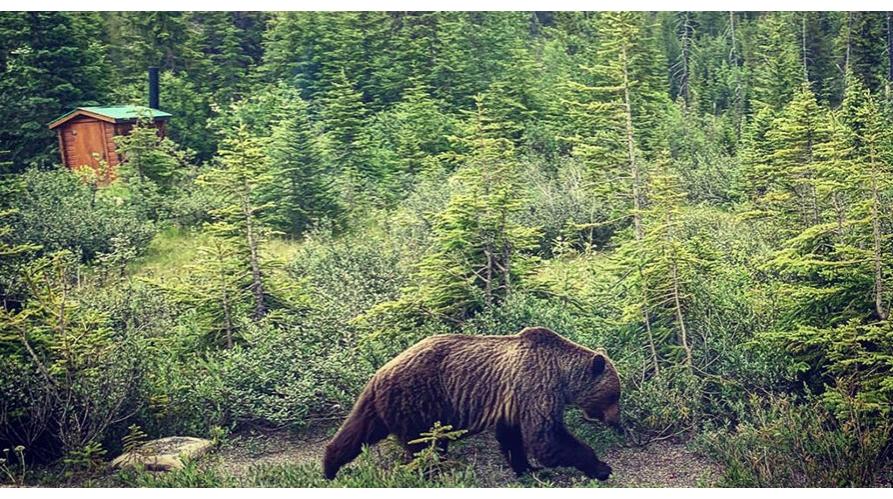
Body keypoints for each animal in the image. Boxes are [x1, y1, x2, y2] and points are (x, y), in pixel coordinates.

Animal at [322, 326, 622, 481]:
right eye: (614, 395)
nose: (615, 420)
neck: (560, 373)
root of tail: (379, 372)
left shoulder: (512, 400)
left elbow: (513, 436)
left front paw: (526, 467)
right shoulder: (536, 386)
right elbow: (546, 437)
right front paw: (601, 467)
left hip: (383, 405)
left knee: (357, 432)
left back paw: (329, 468)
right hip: (419, 400)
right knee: (425, 446)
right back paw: (435, 473)